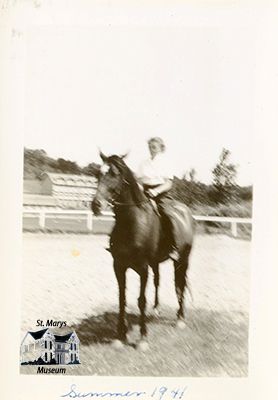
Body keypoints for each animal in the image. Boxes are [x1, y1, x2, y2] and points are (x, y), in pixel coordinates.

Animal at [91, 153, 193, 350]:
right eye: (98, 173)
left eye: (114, 174)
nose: (96, 205)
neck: (132, 223)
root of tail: (186, 212)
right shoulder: (119, 266)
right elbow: (122, 299)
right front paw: (120, 336)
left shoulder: (143, 267)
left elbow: (141, 300)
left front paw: (143, 339)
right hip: (156, 263)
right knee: (158, 281)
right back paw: (156, 310)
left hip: (182, 260)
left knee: (180, 285)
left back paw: (180, 319)